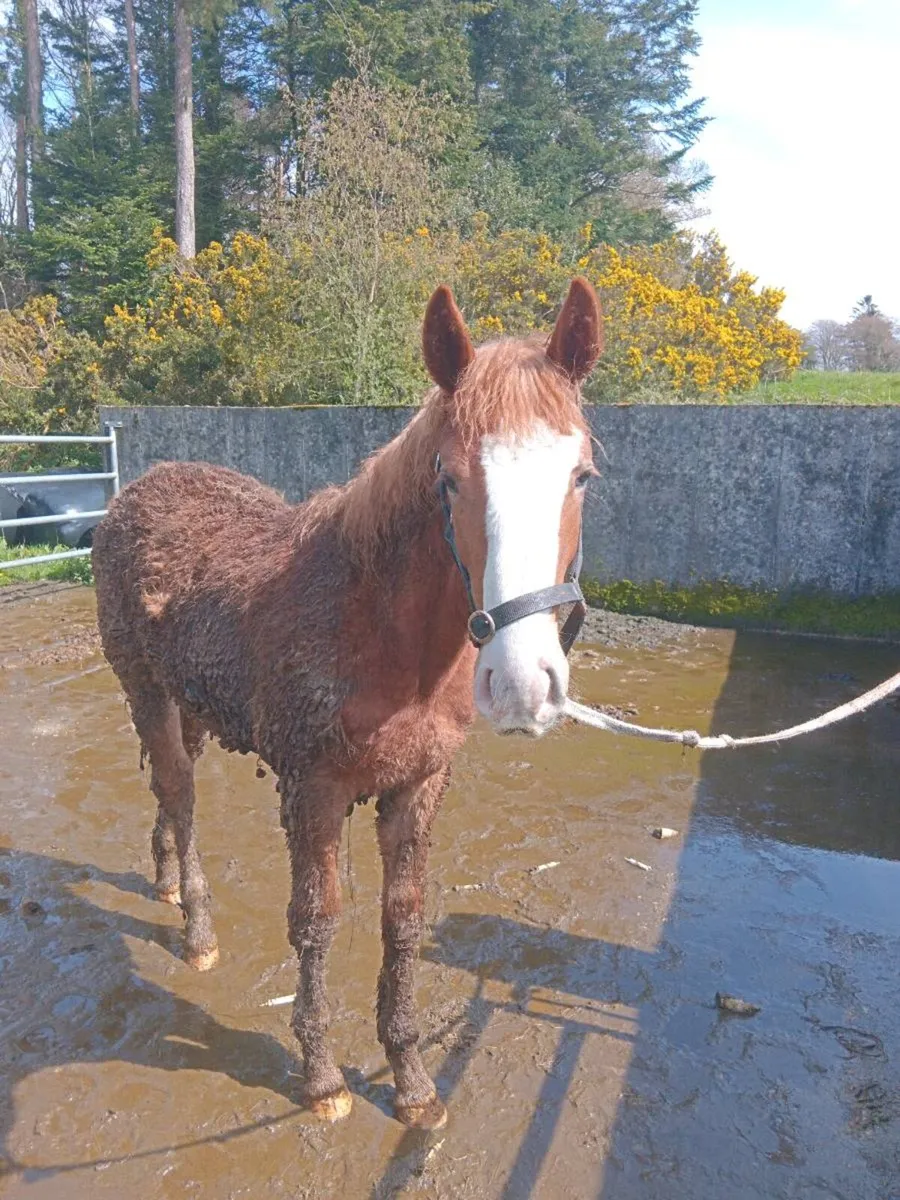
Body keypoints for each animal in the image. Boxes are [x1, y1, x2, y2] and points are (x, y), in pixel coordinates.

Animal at [92, 277, 604, 1130]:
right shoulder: (315, 790)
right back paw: (196, 926)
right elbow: (318, 919)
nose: (524, 682)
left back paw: (164, 880)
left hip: (189, 706)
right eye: (448, 478)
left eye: (582, 475)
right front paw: (323, 1075)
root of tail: (141, 485)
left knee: (168, 794)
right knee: (181, 798)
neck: (381, 629)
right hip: (147, 693)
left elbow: (403, 919)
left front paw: (411, 1078)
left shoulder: (418, 785)